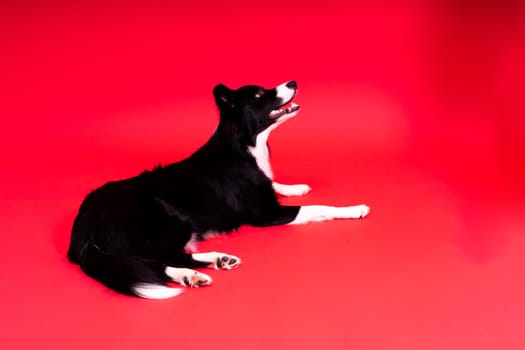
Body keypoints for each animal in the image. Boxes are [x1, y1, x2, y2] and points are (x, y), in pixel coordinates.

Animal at [68, 81, 368, 298]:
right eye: (259, 94)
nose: (292, 81)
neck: (245, 145)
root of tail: (83, 230)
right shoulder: (267, 215)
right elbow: (319, 207)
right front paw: (355, 209)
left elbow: (273, 183)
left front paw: (295, 187)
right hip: (168, 218)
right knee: (159, 259)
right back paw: (199, 270)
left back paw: (209, 265)